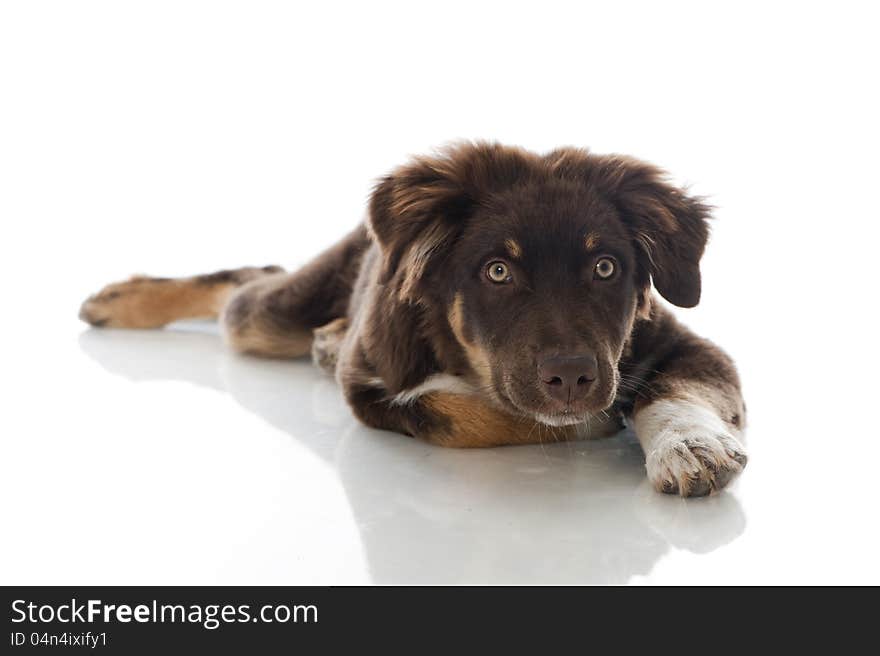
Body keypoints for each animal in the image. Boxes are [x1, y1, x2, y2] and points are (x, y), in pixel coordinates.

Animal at [79, 142, 744, 498]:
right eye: (497, 271)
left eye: (606, 267)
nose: (573, 378)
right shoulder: (374, 386)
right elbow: (458, 411)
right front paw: (599, 420)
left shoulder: (686, 345)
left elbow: (676, 394)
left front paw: (690, 446)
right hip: (267, 319)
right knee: (244, 285)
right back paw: (119, 298)